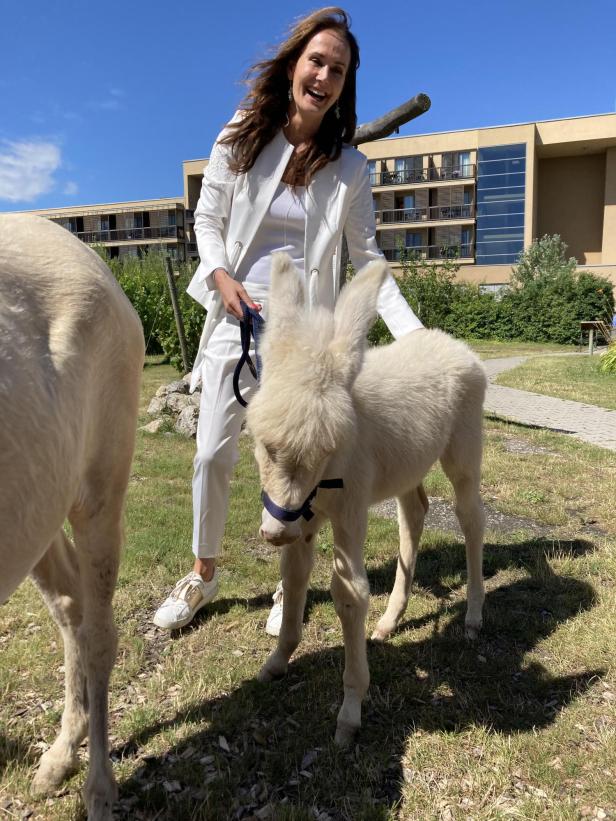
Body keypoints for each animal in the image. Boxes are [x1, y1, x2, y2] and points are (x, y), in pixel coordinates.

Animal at [245, 253, 486, 748]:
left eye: (325, 449)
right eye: (262, 444)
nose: (274, 531)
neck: (324, 481)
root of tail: (452, 343)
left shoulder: (349, 510)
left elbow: (350, 594)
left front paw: (350, 711)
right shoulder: (305, 518)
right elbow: (294, 579)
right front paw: (276, 663)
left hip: (463, 455)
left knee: (471, 518)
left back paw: (473, 616)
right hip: (406, 468)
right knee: (415, 513)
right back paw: (391, 619)